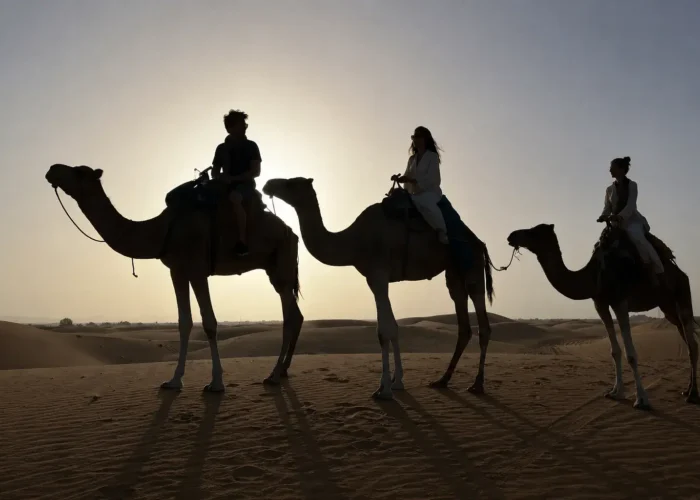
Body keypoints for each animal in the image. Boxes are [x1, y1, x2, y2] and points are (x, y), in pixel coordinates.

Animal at [45, 164, 304, 392]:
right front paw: (174, 381)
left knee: (289, 317)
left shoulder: (197, 269)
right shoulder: (177, 271)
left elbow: (209, 323)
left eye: (79, 171)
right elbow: (184, 323)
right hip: (275, 269)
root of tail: (292, 232)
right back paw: (283, 371)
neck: (163, 229)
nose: (52, 169)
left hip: (282, 263)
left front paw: (216, 383)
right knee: (296, 315)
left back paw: (273, 375)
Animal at [262, 177, 496, 400]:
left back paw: (478, 384)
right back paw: (442, 380)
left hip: (472, 265)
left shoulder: (378, 273)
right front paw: (396, 381)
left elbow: (384, 331)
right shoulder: (373, 279)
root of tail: (479, 242)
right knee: (462, 320)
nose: (268, 184)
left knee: (482, 319)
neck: (354, 241)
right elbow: (391, 327)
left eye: (291, 183)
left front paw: (384, 390)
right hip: (453, 272)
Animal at [507, 223, 699, 408]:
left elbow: (631, 354)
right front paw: (615, 392)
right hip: (667, 306)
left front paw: (641, 399)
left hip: (682, 293)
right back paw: (687, 390)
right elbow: (614, 351)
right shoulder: (600, 304)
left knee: (691, 341)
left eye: (534, 231)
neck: (594, 275)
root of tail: (681, 273)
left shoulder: (620, 301)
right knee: (688, 339)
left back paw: (693, 394)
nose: (511, 235)